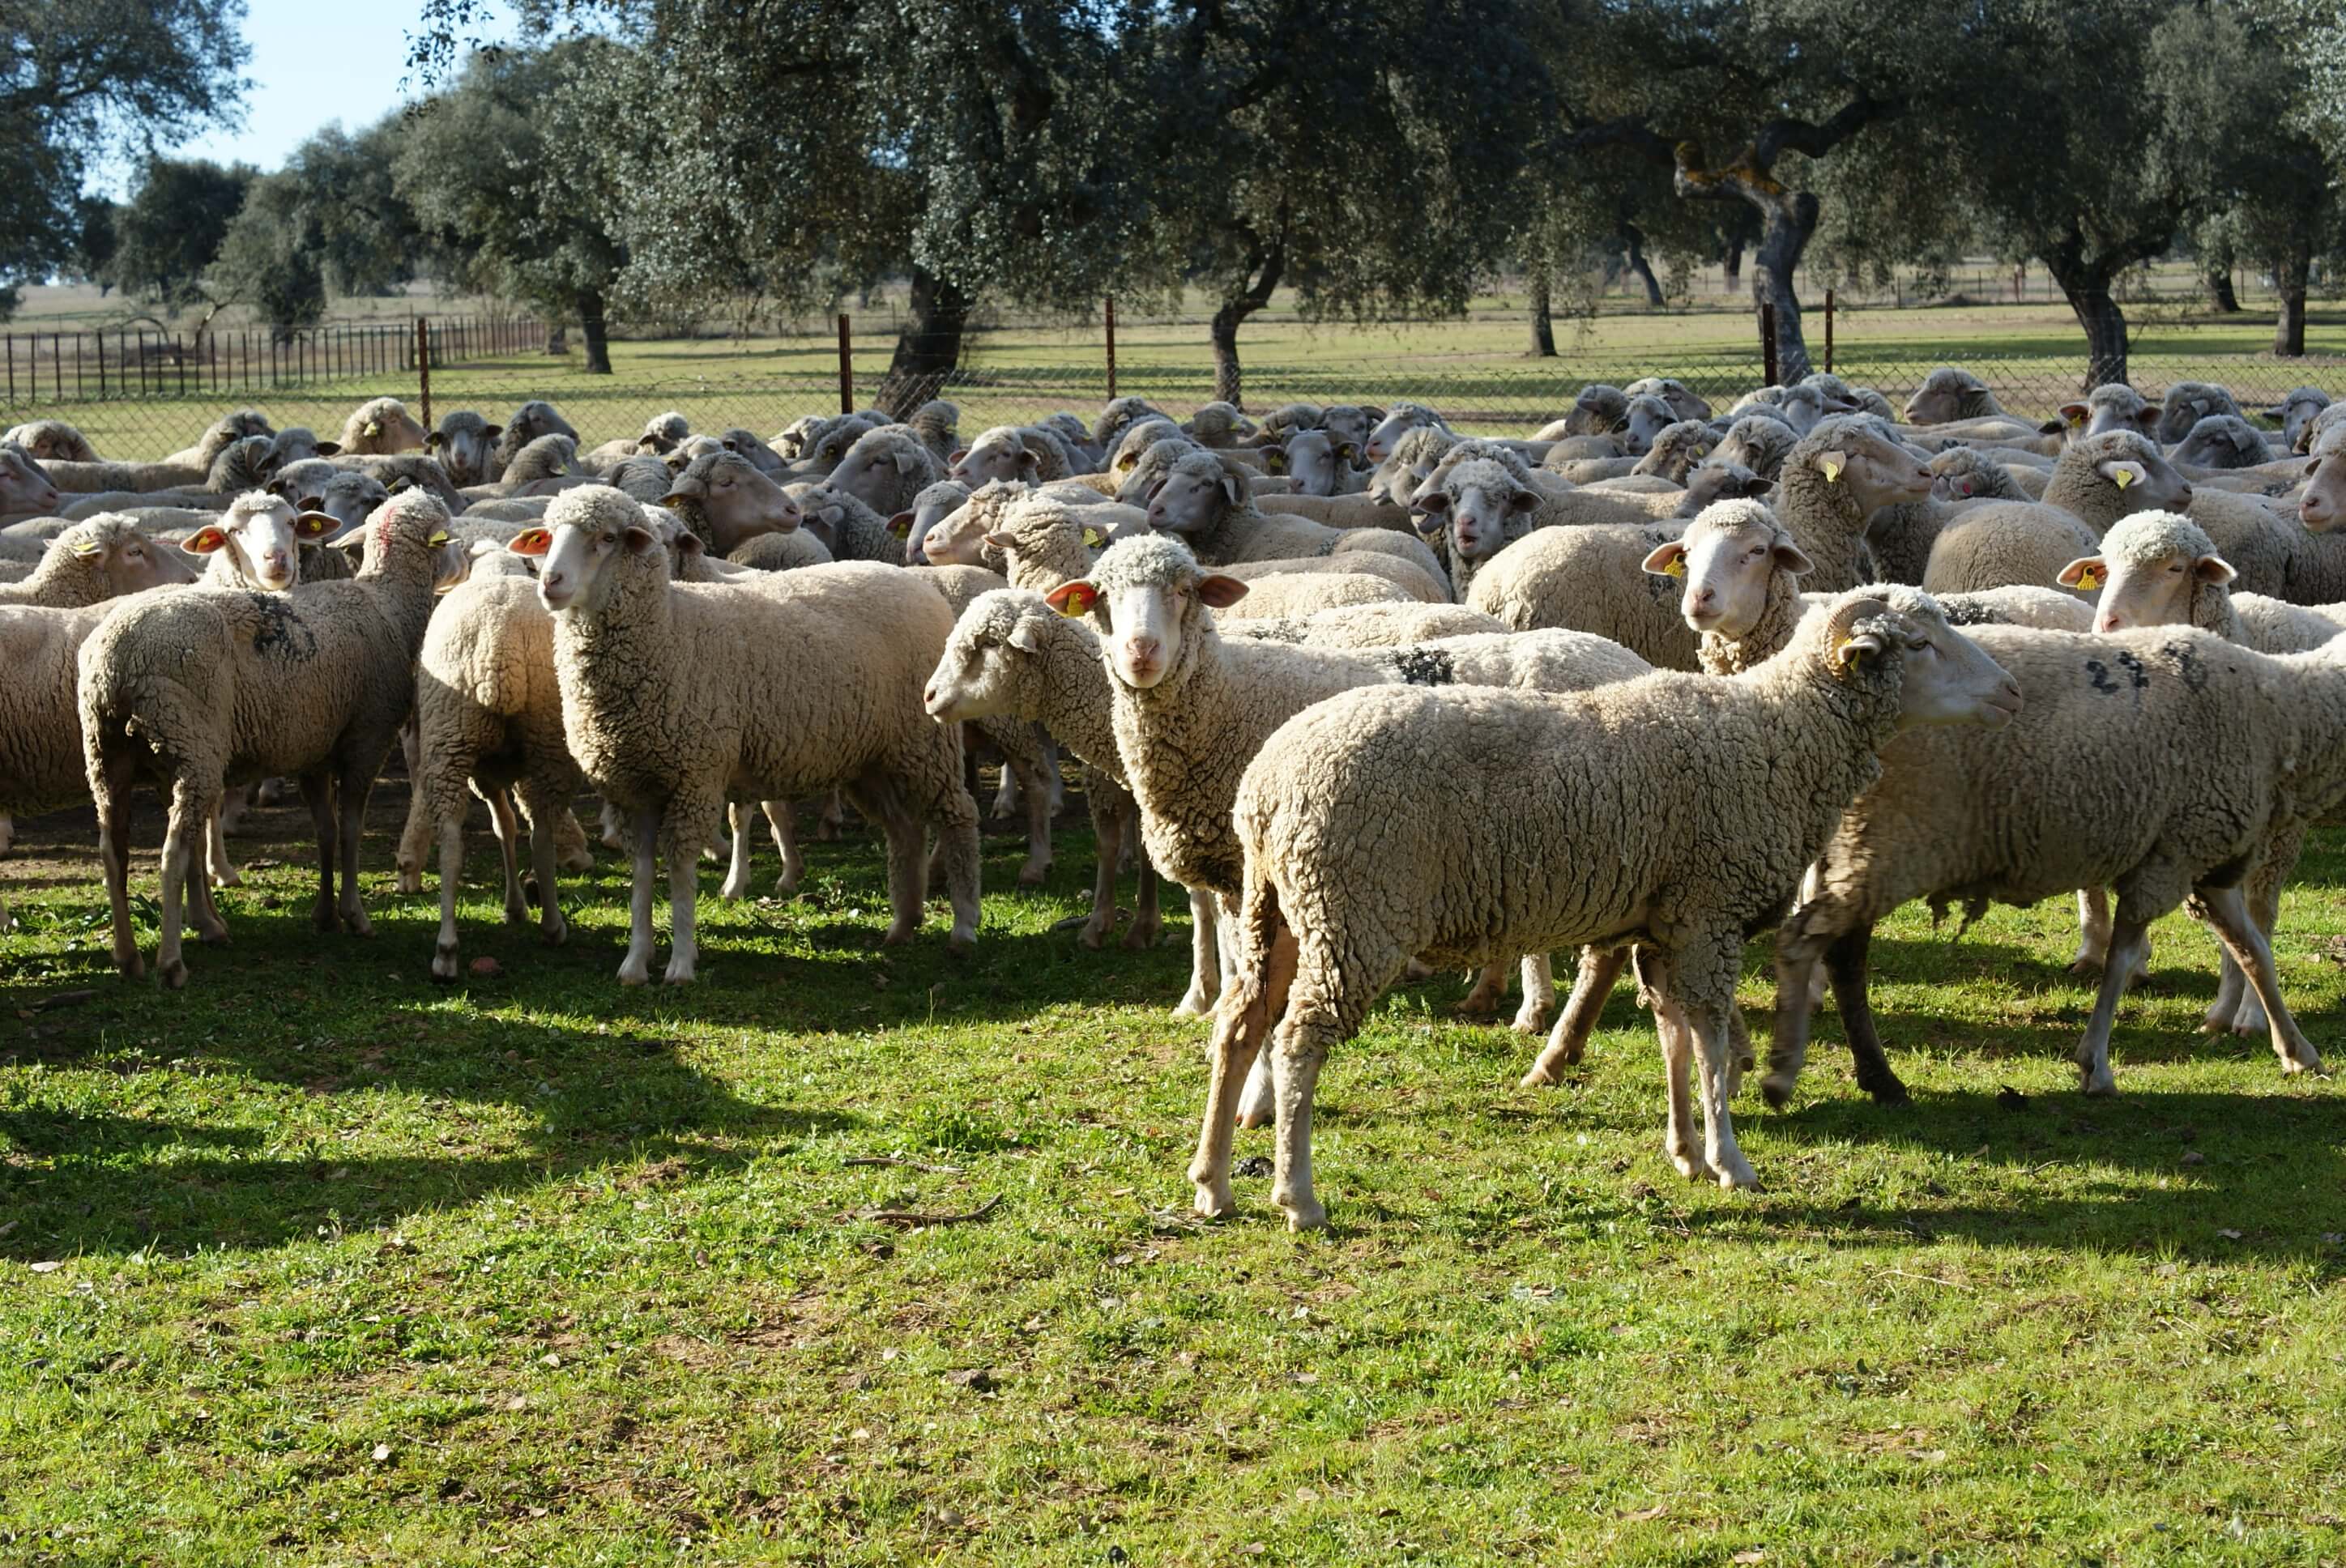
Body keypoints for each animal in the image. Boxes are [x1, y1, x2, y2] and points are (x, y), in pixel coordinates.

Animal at [80, 489, 454, 984]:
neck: (387, 603)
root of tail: (116, 660)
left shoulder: (314, 748)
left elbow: (325, 831)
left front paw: (324, 915)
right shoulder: (367, 739)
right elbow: (351, 830)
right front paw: (354, 915)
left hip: (108, 755)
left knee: (113, 852)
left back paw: (127, 957)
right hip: (190, 744)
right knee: (173, 852)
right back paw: (171, 962)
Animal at [518, 485, 985, 979]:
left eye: (607, 538)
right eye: (548, 536)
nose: (550, 582)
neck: (669, 632)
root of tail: (918, 585)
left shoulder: (695, 776)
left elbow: (680, 867)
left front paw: (681, 962)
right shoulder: (631, 789)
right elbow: (642, 872)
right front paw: (635, 962)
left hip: (924, 742)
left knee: (958, 817)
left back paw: (963, 927)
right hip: (875, 758)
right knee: (905, 830)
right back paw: (903, 924)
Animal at [1201, 586, 2027, 1218]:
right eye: (1917, 644)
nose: (2012, 693)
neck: (1779, 739)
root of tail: (1267, 783)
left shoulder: (1664, 921)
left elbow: (1674, 1037)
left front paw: (1686, 1152)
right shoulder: (1708, 912)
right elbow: (1713, 1039)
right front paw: (1732, 1161)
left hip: (1276, 908)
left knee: (1239, 1027)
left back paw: (1213, 1184)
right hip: (1355, 914)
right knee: (1297, 1040)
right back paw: (1297, 1196)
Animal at [1764, 618, 2336, 1106]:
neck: (2278, 709)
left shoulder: (2203, 862)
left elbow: (2255, 952)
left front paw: (2297, 1051)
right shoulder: (2170, 860)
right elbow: (2121, 962)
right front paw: (2095, 1065)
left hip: (1860, 847)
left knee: (1839, 954)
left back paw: (1875, 1076)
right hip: (1892, 842)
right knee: (1816, 944)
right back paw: (1794, 1073)